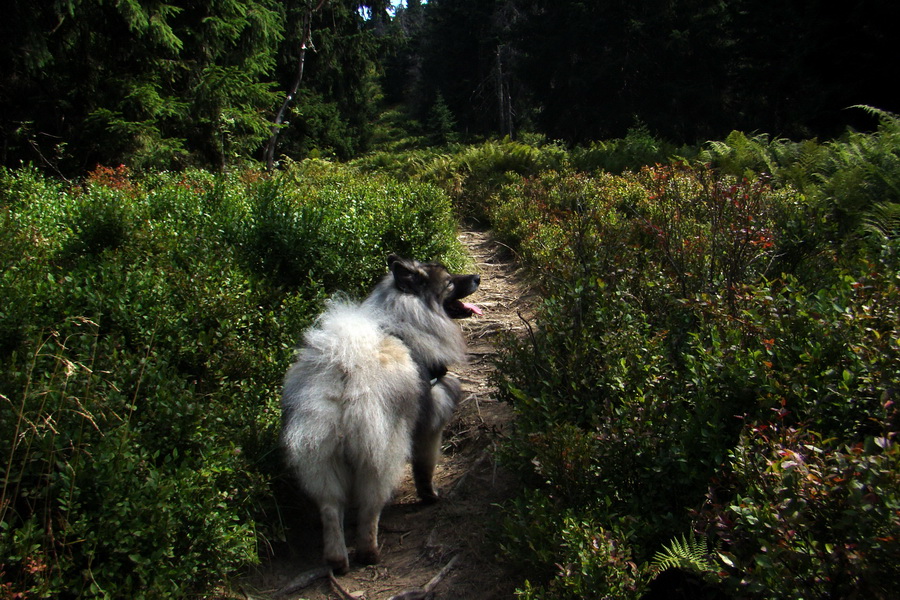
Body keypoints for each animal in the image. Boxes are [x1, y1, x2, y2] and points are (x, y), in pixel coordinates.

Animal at [282, 253, 482, 572]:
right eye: (450, 282)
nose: (477, 277)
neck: (408, 318)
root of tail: (344, 373)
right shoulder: (430, 426)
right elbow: (424, 469)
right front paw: (430, 496)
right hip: (383, 451)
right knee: (370, 505)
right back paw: (369, 552)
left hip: (321, 453)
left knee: (330, 507)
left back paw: (337, 559)